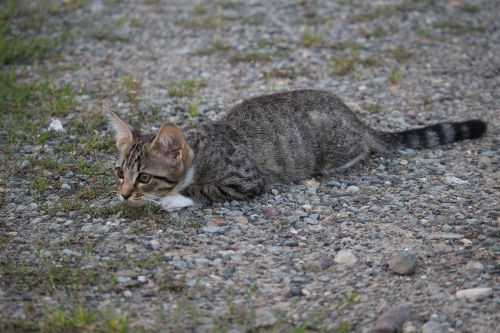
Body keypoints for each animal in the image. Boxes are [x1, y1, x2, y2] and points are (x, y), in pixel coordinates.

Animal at [107, 89, 486, 210]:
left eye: (144, 177)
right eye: (120, 172)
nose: (124, 194)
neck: (200, 148)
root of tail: (354, 117)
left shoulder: (245, 180)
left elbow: (201, 190)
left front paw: (171, 200)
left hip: (334, 147)